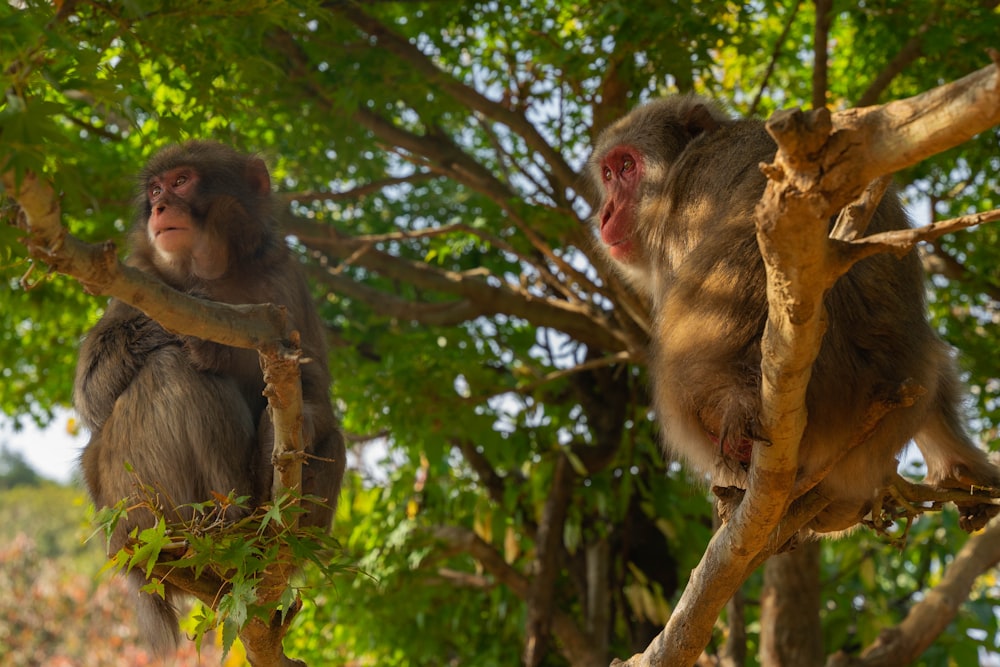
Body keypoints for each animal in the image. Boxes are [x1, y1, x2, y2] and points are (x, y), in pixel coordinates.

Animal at [74, 141, 348, 652]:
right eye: (155, 190)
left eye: (181, 182)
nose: (160, 207)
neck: (217, 272)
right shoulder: (138, 279)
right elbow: (92, 397)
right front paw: (187, 330)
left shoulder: (284, 278)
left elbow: (315, 391)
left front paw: (279, 440)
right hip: (136, 508)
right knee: (171, 369)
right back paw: (227, 520)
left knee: (332, 439)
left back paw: (267, 533)